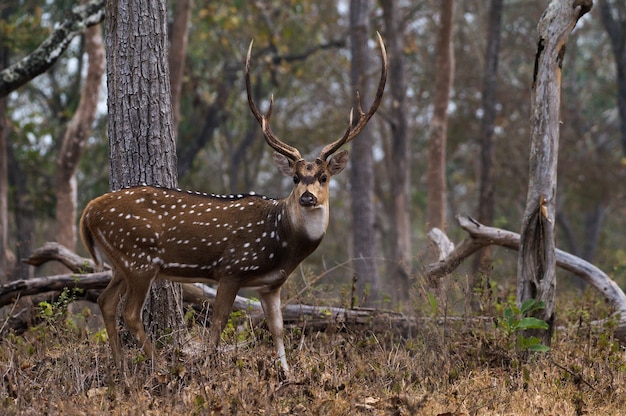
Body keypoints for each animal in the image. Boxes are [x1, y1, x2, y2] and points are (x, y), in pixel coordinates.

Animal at [80, 34, 386, 374]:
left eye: (323, 177)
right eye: (295, 177)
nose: (307, 197)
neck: (282, 243)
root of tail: (89, 211)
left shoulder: (271, 284)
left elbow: (278, 328)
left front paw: (287, 373)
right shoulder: (232, 268)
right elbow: (218, 322)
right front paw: (208, 365)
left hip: (122, 261)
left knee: (105, 301)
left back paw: (120, 367)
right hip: (139, 258)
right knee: (129, 312)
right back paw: (158, 365)